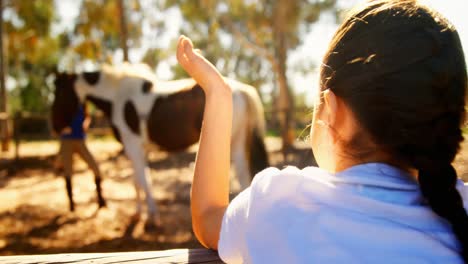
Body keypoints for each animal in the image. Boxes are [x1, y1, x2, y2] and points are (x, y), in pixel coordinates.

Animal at [52, 63, 266, 226]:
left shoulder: (133, 147)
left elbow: (143, 181)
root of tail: (241, 89)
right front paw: (138, 213)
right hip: (237, 145)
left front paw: (152, 217)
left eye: (60, 92)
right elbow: (138, 181)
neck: (118, 96)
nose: (55, 126)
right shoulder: (139, 150)